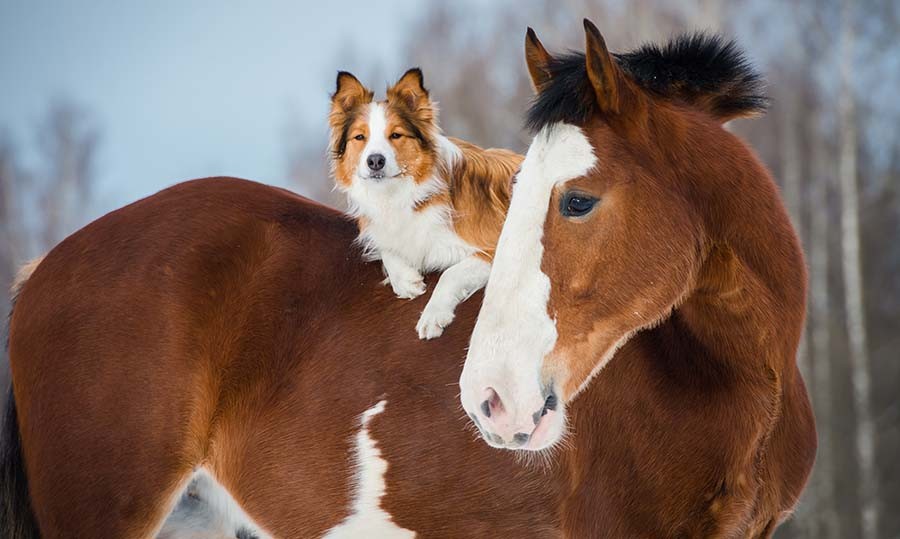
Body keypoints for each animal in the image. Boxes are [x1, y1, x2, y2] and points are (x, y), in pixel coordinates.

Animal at [328, 67, 520, 338]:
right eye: (360, 137)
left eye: (396, 135)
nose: (375, 161)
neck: (401, 194)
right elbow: (388, 248)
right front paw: (405, 280)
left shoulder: (493, 246)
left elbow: (450, 273)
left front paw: (433, 315)